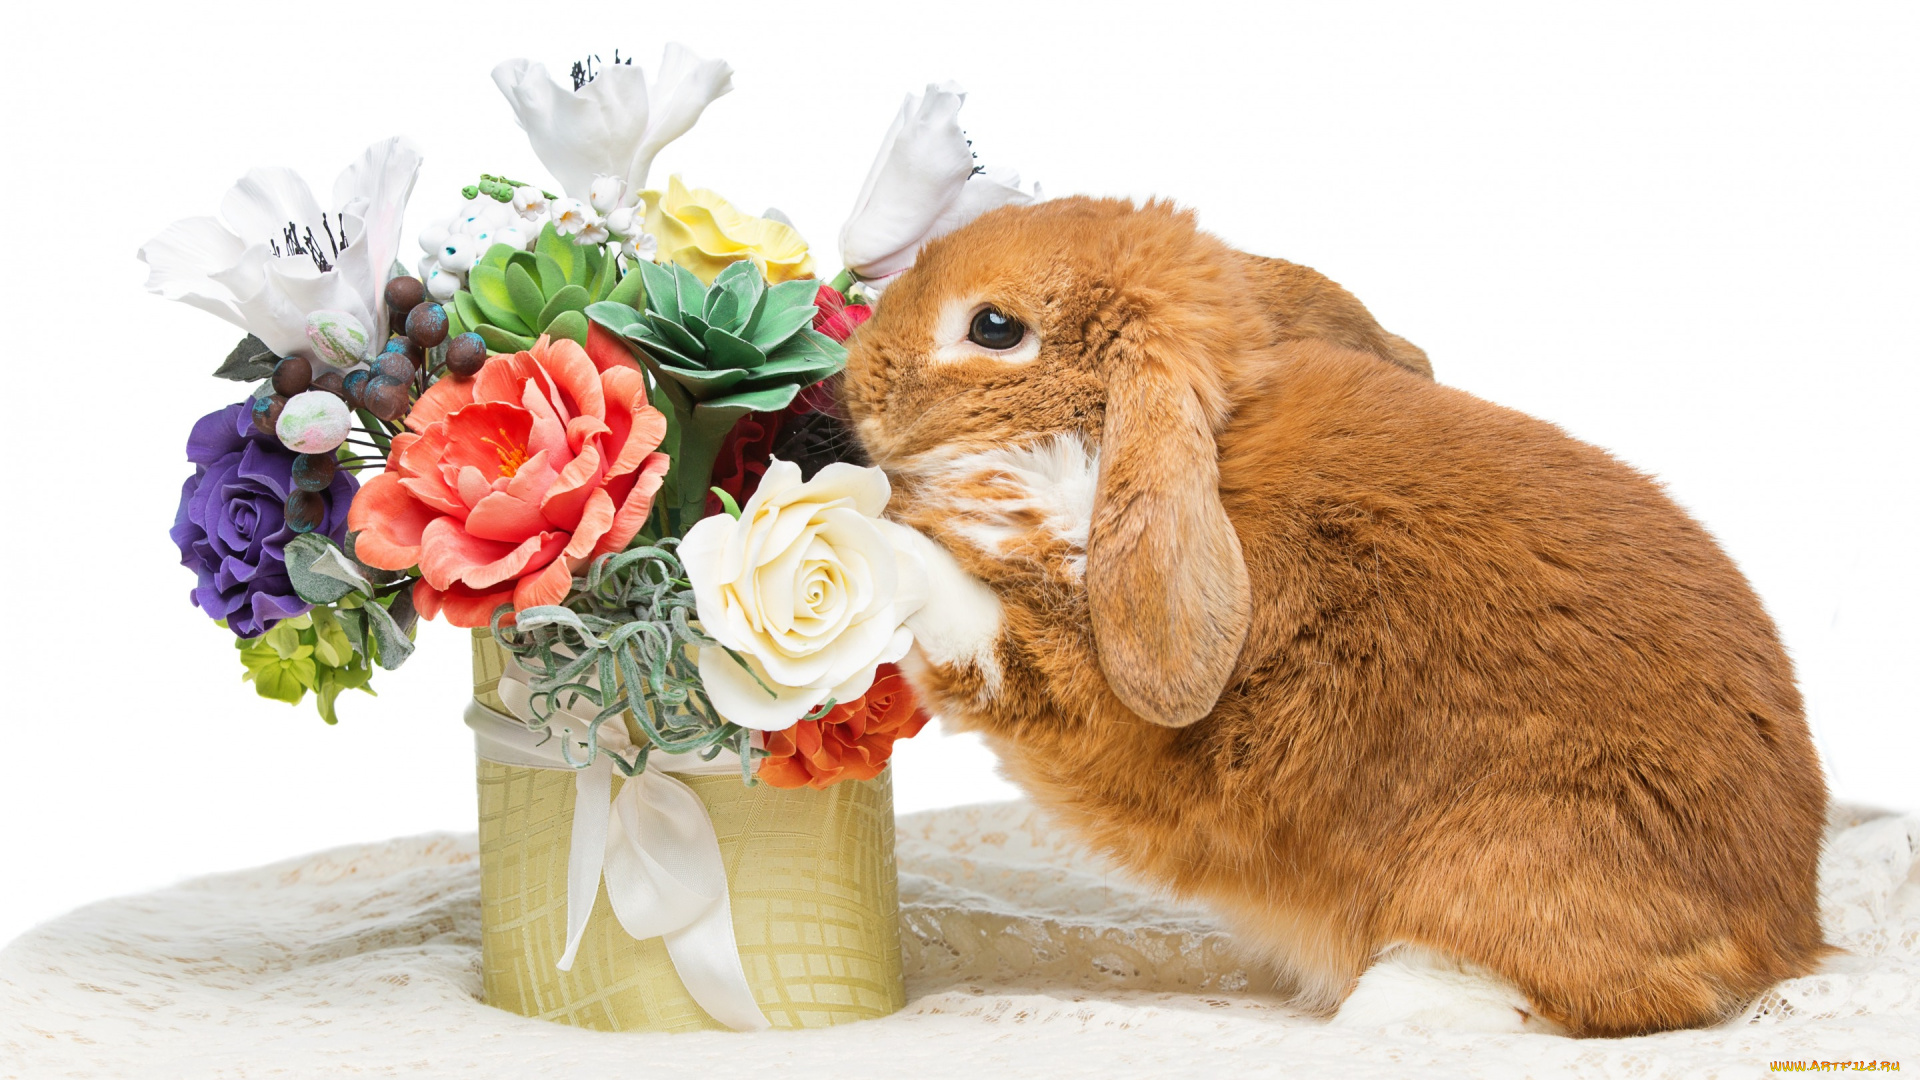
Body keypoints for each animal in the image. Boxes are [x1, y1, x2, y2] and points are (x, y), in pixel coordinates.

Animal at [840, 196, 1830, 1037]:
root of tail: (1786, 933)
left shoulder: (1075, 682)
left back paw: (1386, 1006)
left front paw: (869, 536)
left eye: (993, 328)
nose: (857, 373)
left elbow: (960, 613)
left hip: (1513, 855)